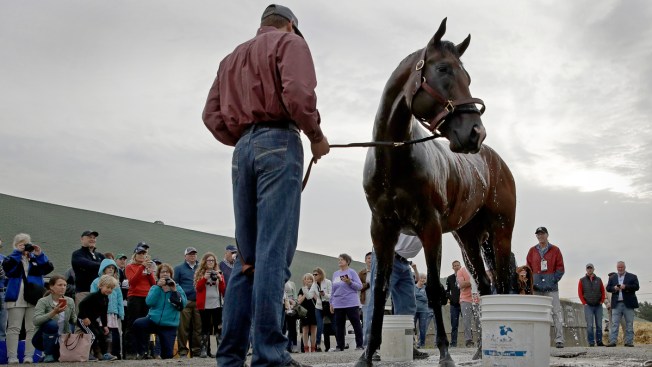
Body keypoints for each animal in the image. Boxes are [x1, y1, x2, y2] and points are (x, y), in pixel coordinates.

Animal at [360, 18, 516, 367]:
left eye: (467, 77)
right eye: (443, 69)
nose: (476, 133)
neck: (395, 158)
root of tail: (495, 161)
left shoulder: (430, 227)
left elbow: (432, 288)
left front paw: (445, 353)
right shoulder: (382, 229)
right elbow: (379, 291)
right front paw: (367, 353)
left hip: (501, 232)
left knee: (500, 284)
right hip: (468, 238)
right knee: (486, 286)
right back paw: (479, 351)